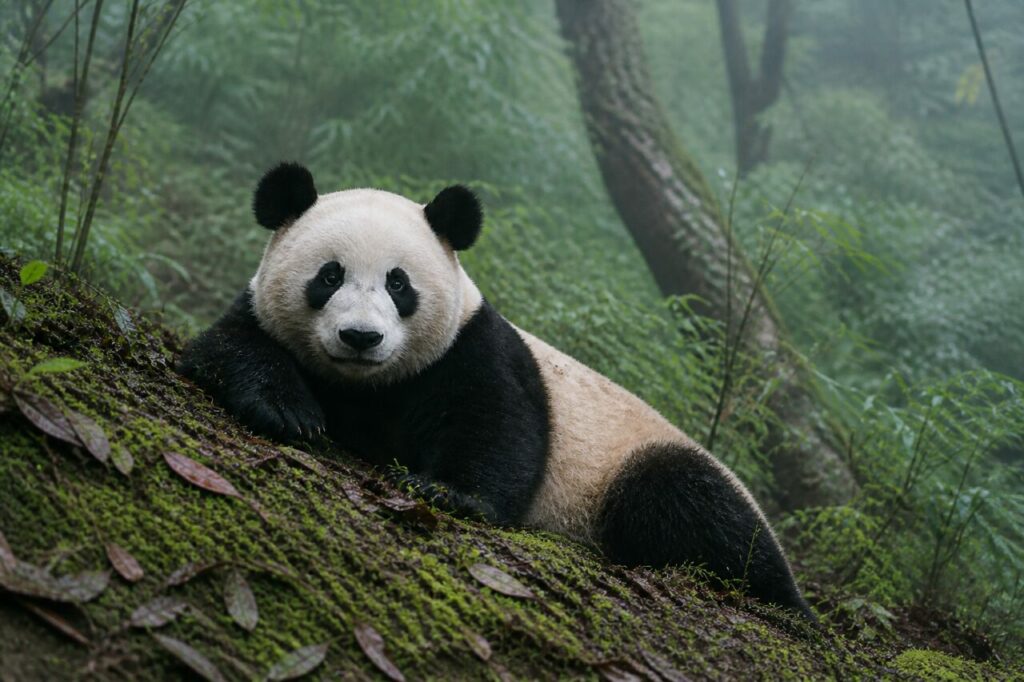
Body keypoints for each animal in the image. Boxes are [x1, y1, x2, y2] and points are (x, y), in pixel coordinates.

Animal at [179, 162, 815, 621]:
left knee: (689, 503)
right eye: (329, 275)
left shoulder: (473, 351)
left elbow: (497, 427)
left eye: (398, 283)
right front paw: (289, 412)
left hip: (646, 466)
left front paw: (447, 492)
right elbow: (228, 347)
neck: (367, 386)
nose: (361, 337)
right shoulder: (262, 316)